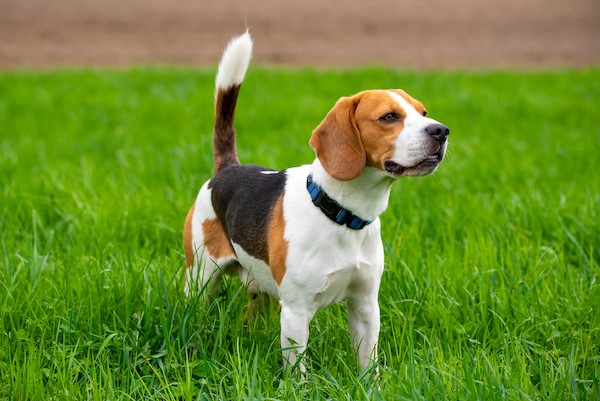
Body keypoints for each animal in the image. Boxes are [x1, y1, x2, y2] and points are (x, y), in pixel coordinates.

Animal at [183, 32, 450, 372]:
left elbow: (368, 361)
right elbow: (297, 371)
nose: (441, 131)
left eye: (423, 113)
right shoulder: (296, 312)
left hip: (260, 291)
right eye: (389, 117)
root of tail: (227, 169)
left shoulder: (365, 304)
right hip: (200, 276)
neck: (343, 214)